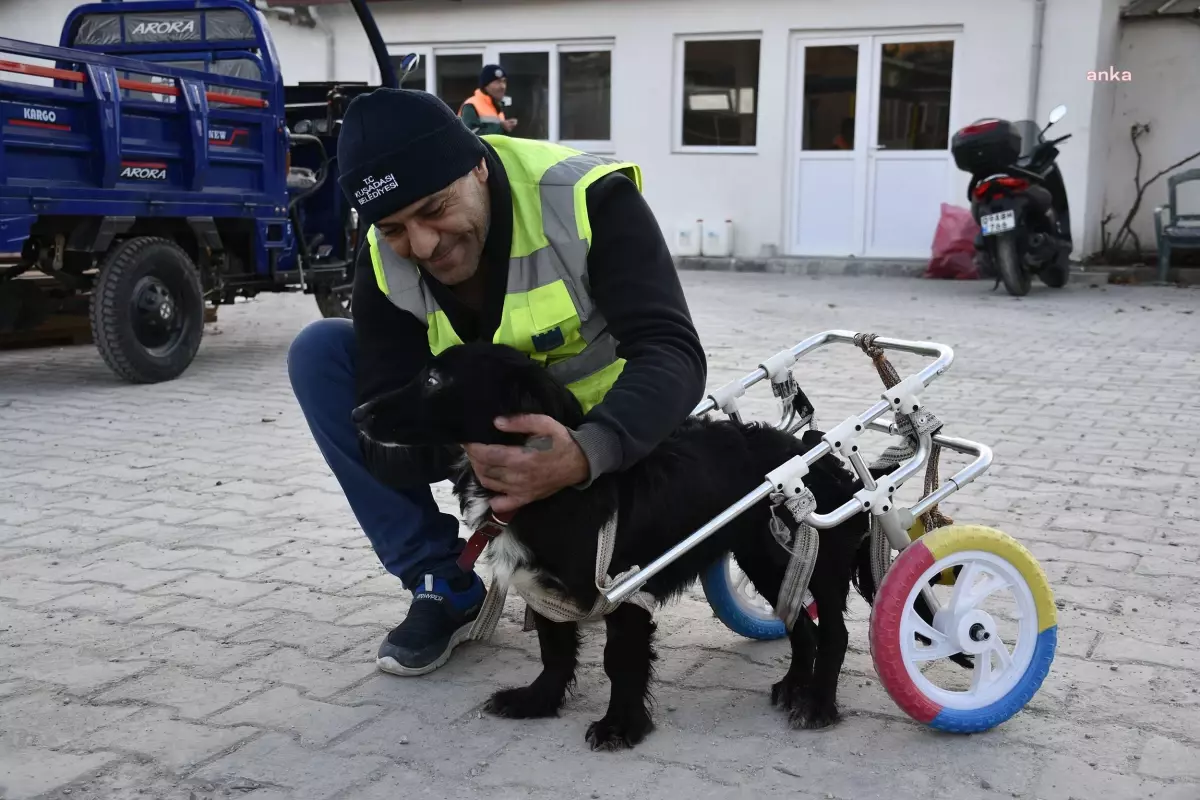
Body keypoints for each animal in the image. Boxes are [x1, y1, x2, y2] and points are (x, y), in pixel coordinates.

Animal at [352, 343, 892, 753]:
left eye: (435, 379)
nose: (357, 412)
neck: (555, 494)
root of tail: (826, 460)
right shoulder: (545, 592)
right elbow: (554, 651)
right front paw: (537, 702)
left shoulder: (625, 591)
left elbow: (620, 661)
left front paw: (621, 726)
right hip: (768, 561)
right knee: (800, 624)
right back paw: (794, 687)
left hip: (813, 560)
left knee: (834, 634)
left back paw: (817, 705)